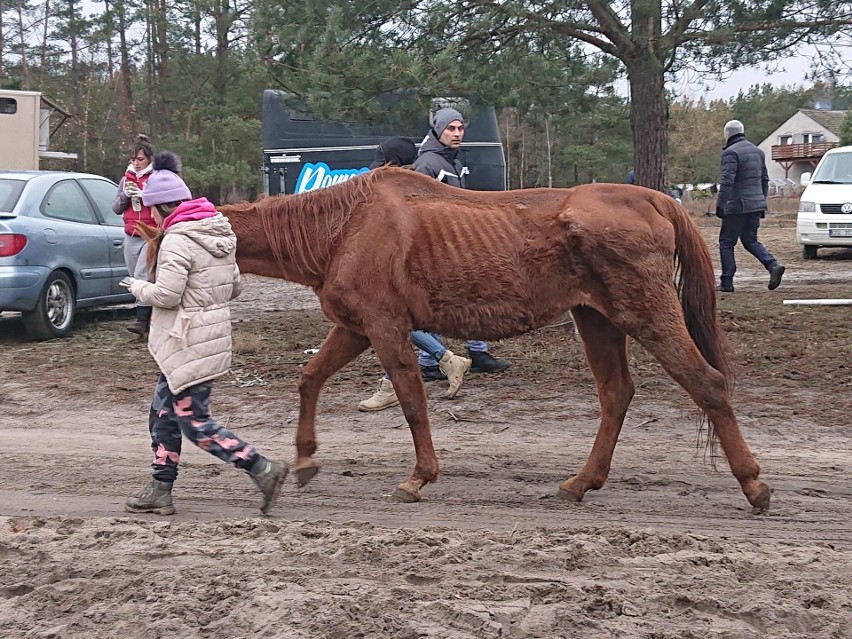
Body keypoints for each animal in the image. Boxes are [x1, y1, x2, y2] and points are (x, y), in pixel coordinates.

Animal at [210, 168, 768, 512]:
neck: (346, 225)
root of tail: (651, 196)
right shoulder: (355, 328)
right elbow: (310, 379)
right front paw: (305, 459)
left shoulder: (384, 326)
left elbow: (412, 400)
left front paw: (419, 477)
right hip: (596, 320)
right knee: (616, 395)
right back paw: (581, 482)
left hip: (647, 313)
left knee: (706, 383)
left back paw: (752, 483)